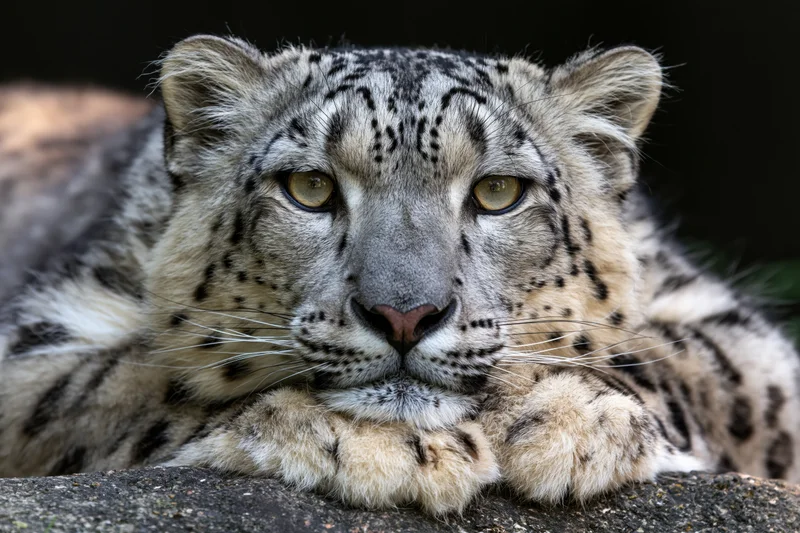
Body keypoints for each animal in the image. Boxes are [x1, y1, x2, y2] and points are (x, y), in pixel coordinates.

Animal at [0, 34, 797, 515]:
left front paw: (570, 423)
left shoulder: (744, 342)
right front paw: (380, 446)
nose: (405, 314)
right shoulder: (40, 340)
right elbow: (149, 380)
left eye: (498, 191)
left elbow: (677, 364)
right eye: (310, 188)